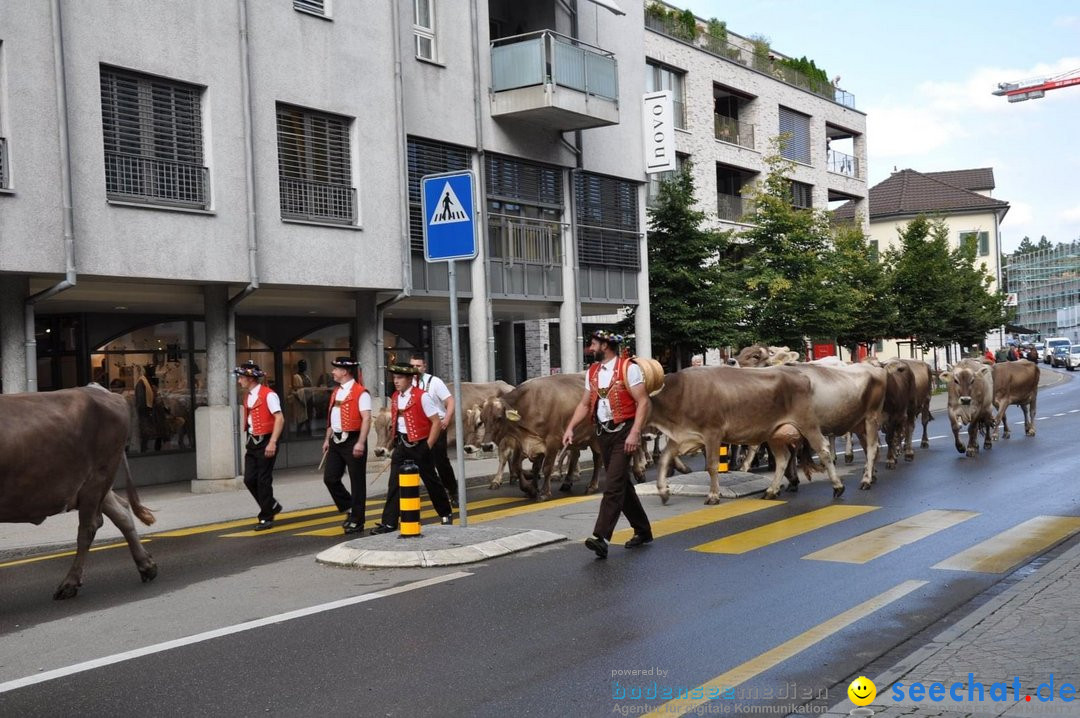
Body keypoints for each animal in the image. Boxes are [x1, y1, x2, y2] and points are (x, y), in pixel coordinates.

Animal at [0, 386, 157, 600]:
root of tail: (97, 388)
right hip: (96, 485)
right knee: (122, 514)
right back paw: (146, 566)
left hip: (97, 479)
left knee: (89, 528)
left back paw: (69, 584)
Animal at [648, 367, 842, 500]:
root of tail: (800, 374)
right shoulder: (681, 437)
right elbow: (664, 458)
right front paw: (663, 491)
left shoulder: (713, 433)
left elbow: (712, 466)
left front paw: (713, 495)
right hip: (775, 433)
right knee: (783, 458)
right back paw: (771, 491)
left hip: (808, 424)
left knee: (823, 450)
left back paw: (837, 486)